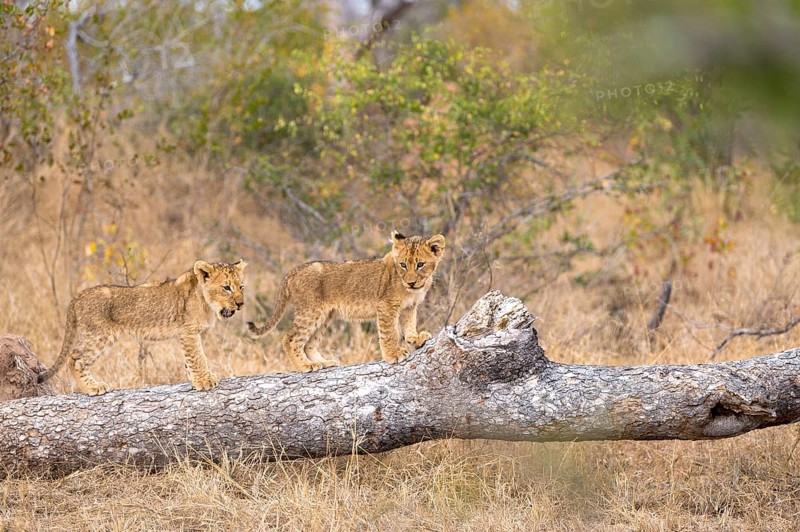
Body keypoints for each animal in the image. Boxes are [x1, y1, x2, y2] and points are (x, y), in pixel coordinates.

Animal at [37, 259, 247, 395]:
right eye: (226, 287)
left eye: (241, 287)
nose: (240, 304)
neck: (208, 303)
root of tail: (78, 296)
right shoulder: (189, 331)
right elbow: (197, 356)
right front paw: (204, 381)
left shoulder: (191, 333)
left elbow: (192, 358)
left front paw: (195, 380)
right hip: (98, 336)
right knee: (75, 359)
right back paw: (91, 388)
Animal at [247, 231, 445, 372]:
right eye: (403, 265)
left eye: (420, 265)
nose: (411, 282)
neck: (412, 289)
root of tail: (293, 271)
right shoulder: (386, 306)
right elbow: (390, 333)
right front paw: (393, 354)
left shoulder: (409, 307)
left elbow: (409, 326)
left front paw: (415, 339)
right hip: (310, 312)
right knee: (290, 339)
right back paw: (305, 366)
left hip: (325, 316)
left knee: (309, 343)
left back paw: (324, 363)